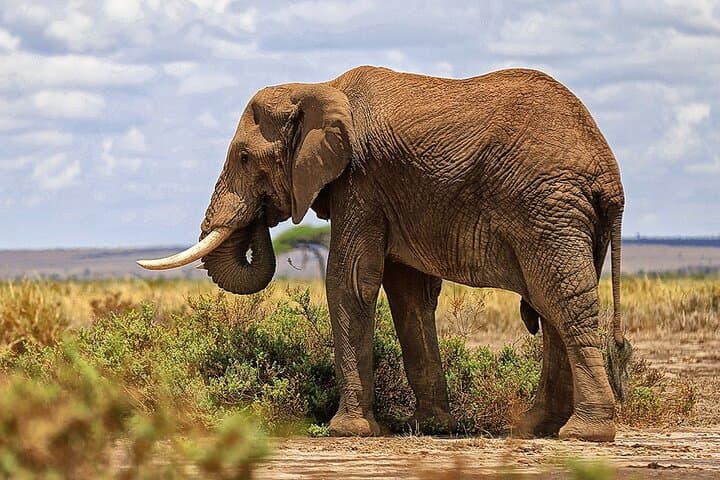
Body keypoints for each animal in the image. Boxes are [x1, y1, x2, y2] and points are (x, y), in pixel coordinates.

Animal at [138, 66, 628, 442]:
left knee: (561, 301)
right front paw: (431, 427)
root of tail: (609, 173)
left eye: (243, 157)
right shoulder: (387, 193)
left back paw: (584, 434)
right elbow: (408, 293)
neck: (320, 87)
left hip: (548, 209)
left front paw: (346, 431)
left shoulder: (361, 180)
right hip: (569, 216)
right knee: (550, 308)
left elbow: (350, 280)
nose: (262, 215)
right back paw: (535, 429)